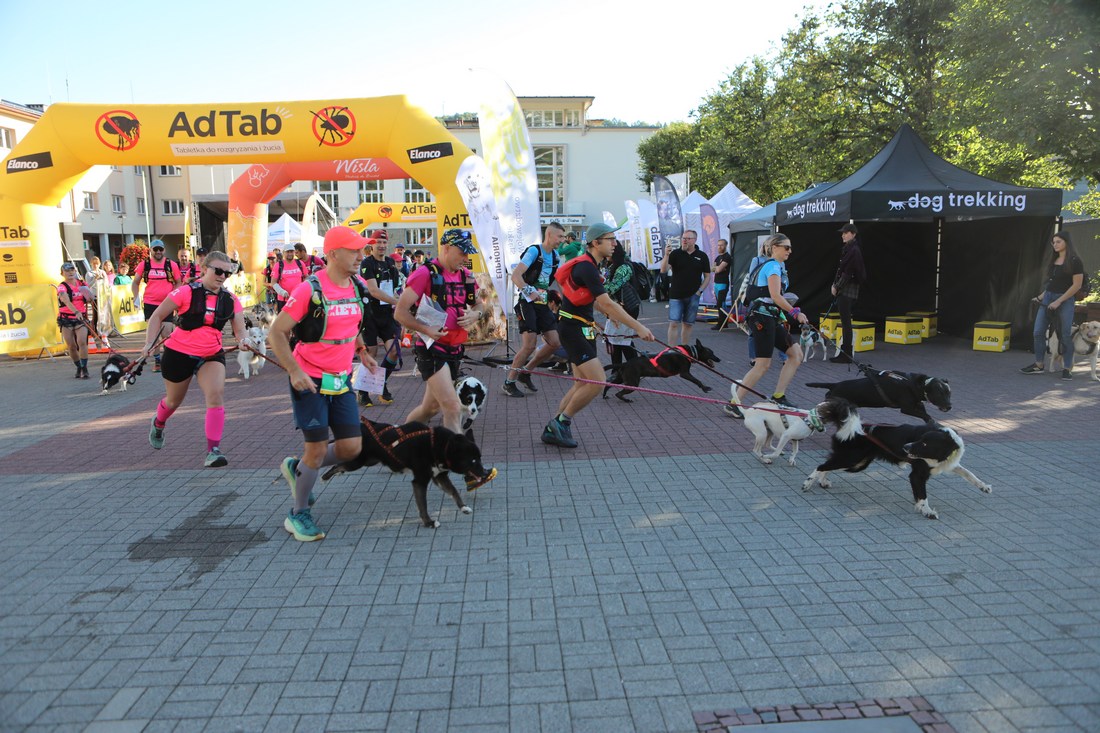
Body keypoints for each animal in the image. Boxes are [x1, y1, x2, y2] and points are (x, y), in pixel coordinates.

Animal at [321, 418, 493, 528]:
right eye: (472, 461)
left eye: (480, 458)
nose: (485, 473)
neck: (437, 446)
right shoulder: (420, 480)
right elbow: (423, 504)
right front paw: (429, 523)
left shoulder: (439, 476)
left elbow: (454, 491)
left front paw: (463, 507)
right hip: (357, 461)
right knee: (337, 465)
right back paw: (325, 477)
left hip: (370, 461)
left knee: (340, 465)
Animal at [801, 398, 992, 519]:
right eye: (920, 440)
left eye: (925, 443)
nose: (905, 448)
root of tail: (853, 428)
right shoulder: (916, 475)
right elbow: (923, 495)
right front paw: (927, 512)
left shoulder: (948, 464)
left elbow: (968, 474)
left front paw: (983, 486)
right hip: (852, 459)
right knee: (821, 466)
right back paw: (808, 484)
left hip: (857, 463)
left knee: (828, 465)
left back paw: (823, 481)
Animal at [806, 366, 951, 423]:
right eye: (939, 394)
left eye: (949, 393)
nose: (949, 407)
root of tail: (835, 385)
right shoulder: (906, 408)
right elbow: (925, 415)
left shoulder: (918, 404)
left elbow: (925, 414)